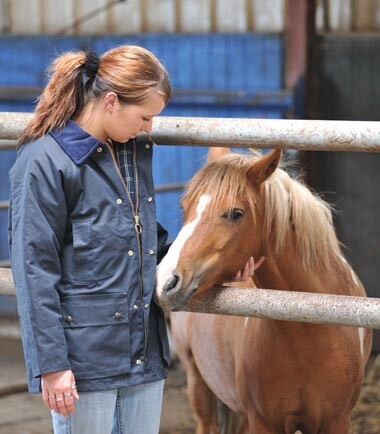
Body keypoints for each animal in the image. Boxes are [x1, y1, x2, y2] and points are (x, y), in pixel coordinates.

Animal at [156, 148, 372, 434]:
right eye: (185, 207)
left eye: (235, 213)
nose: (165, 281)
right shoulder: (263, 421)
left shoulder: (336, 421)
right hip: (197, 380)